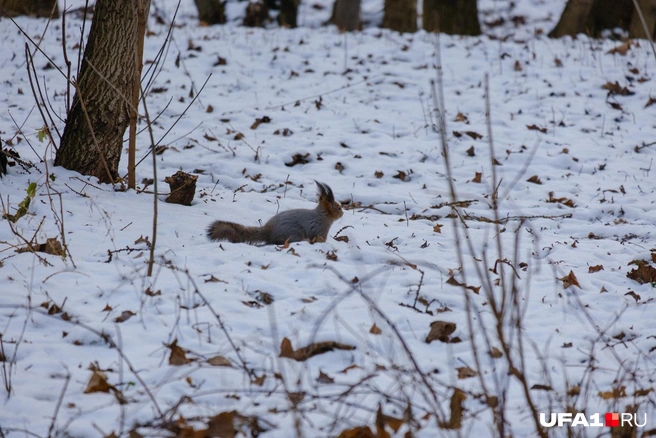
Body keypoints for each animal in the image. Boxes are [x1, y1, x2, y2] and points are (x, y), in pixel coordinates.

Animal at [207, 181, 343, 245]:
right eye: (338, 208)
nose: (343, 214)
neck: (323, 215)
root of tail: (268, 232)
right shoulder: (320, 230)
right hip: (294, 233)